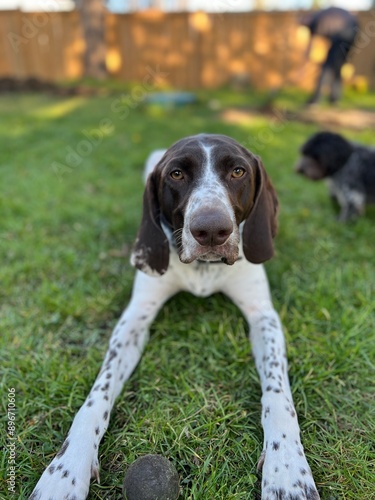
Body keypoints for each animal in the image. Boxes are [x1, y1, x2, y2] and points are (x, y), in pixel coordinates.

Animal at [30, 134, 320, 500]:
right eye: (177, 174)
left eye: (238, 171)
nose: (211, 230)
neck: (203, 269)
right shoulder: (135, 318)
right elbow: (97, 395)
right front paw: (66, 470)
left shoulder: (263, 317)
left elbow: (280, 396)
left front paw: (287, 472)